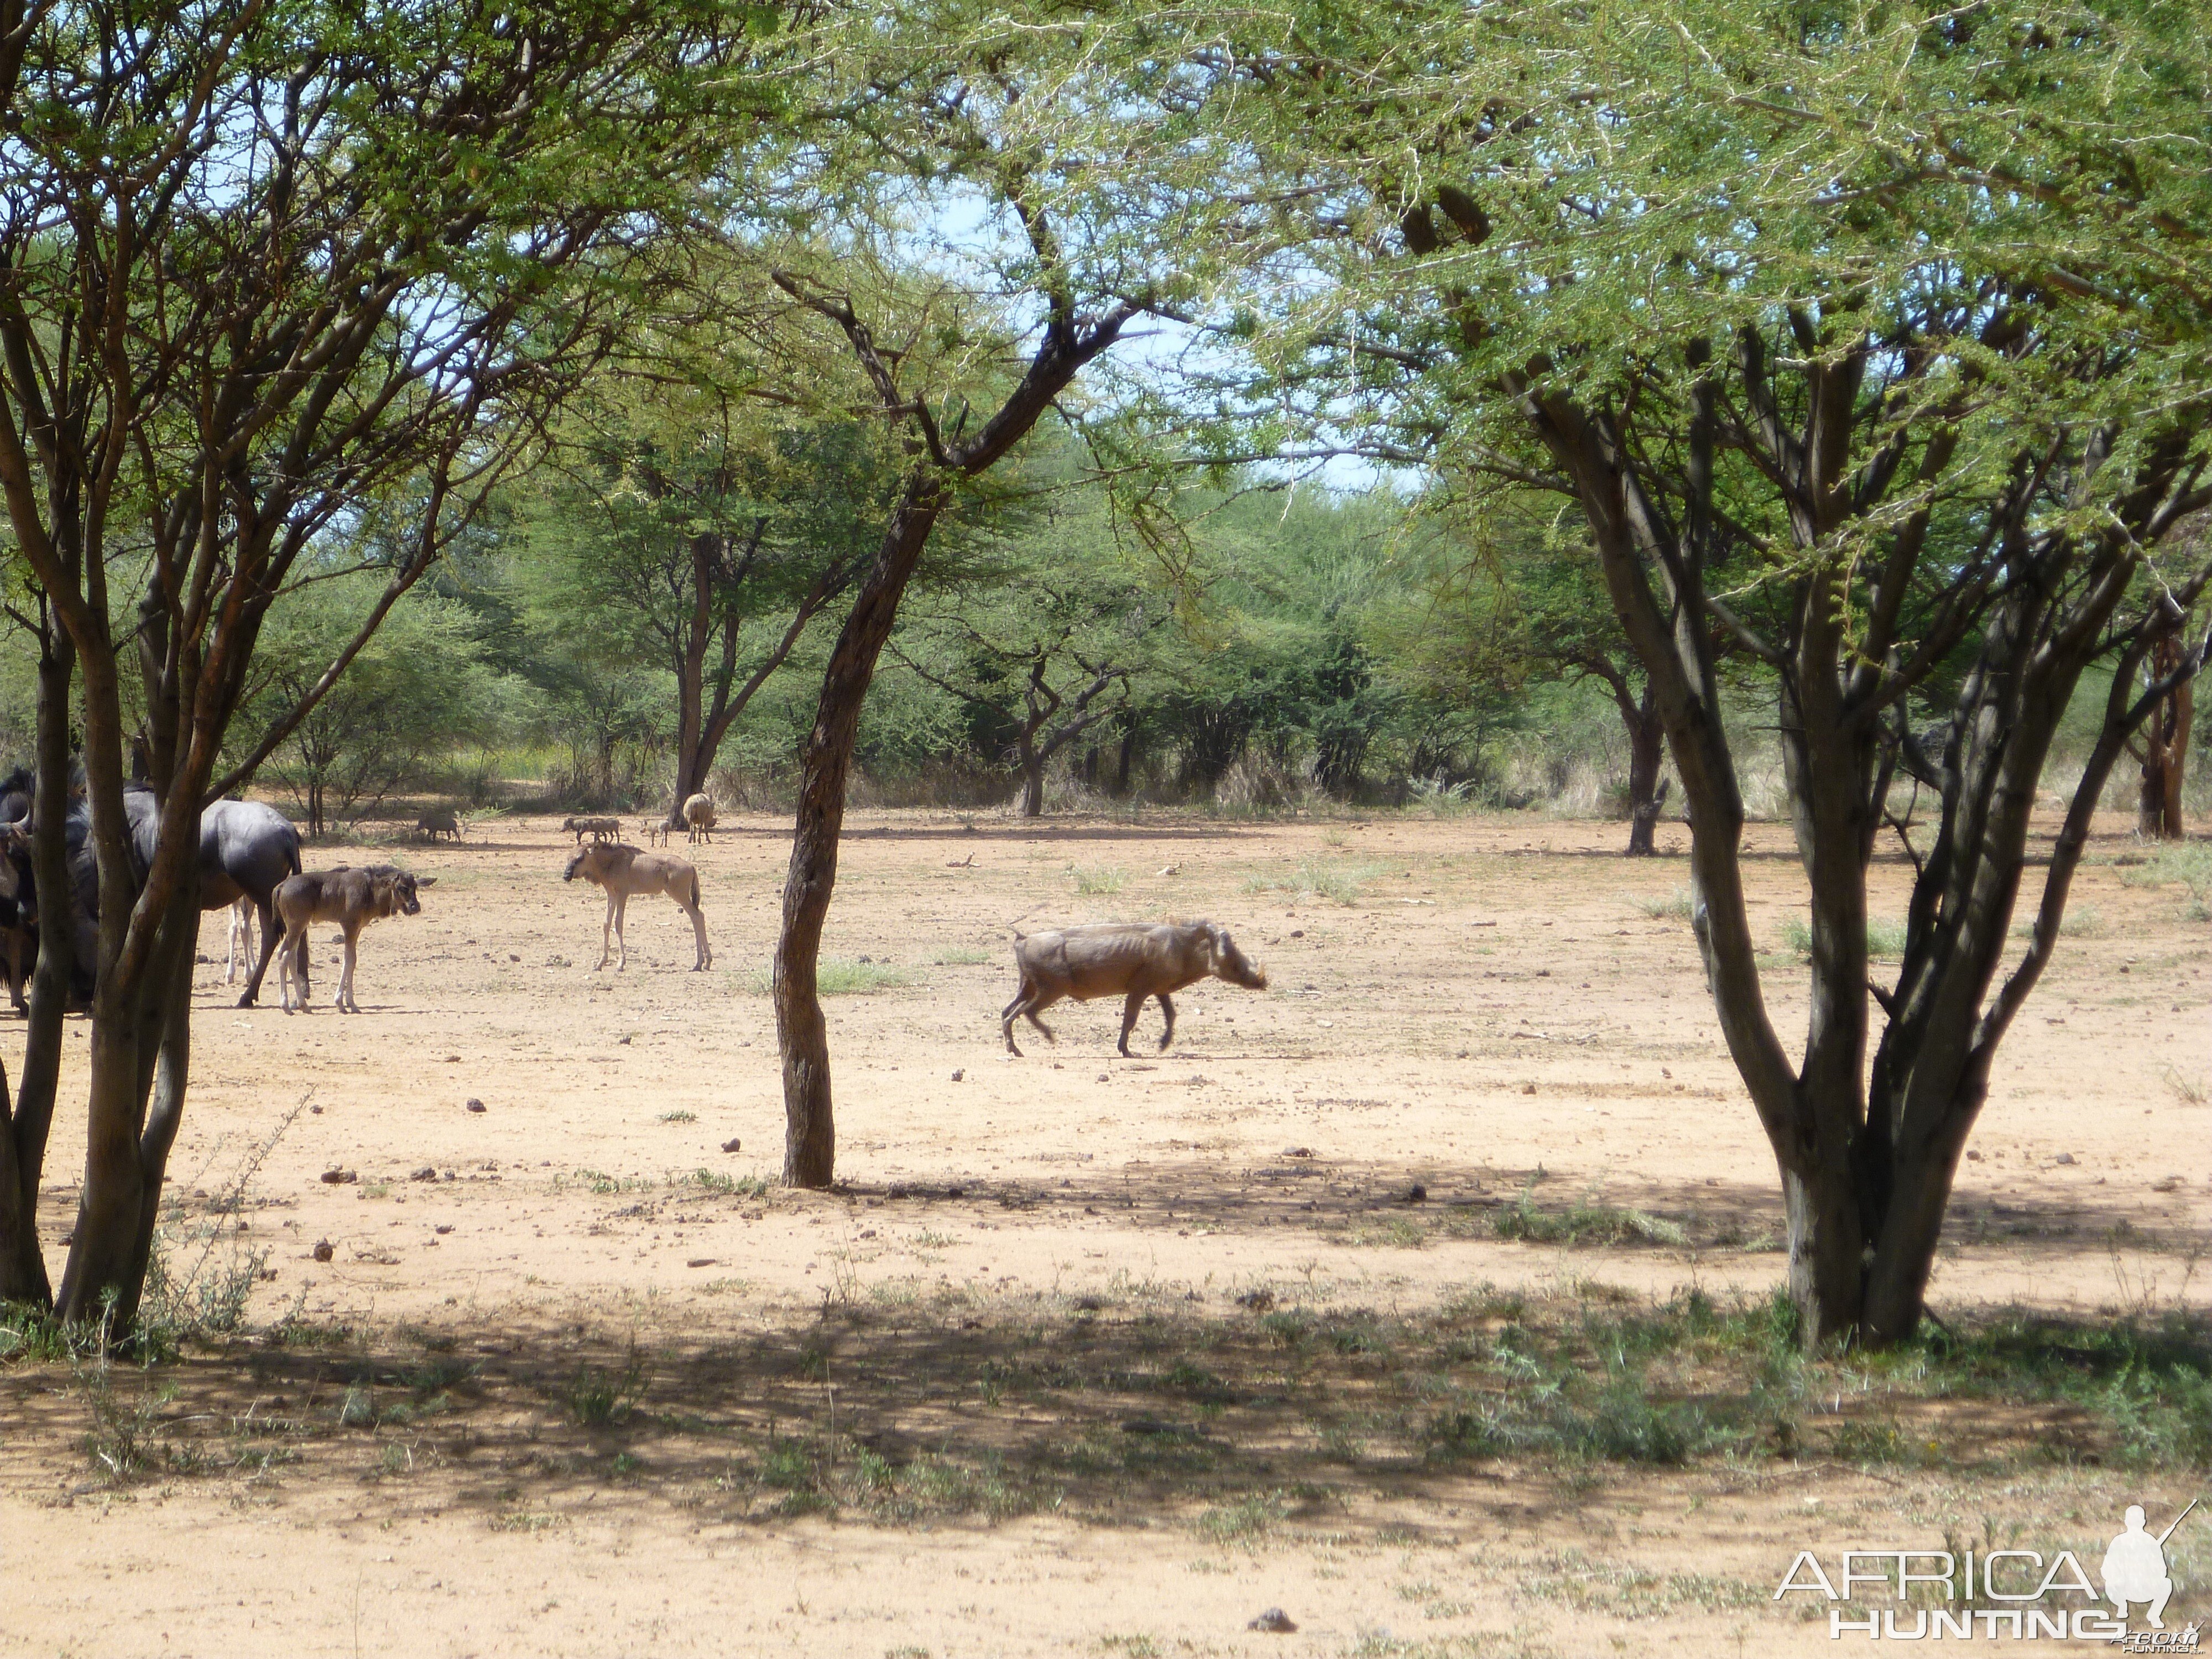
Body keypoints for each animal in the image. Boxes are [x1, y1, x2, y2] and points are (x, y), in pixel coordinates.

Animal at [274, 872, 429, 1013]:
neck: (369, 890)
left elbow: (352, 961)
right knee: (283, 954)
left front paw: (350, 1003)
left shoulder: (357, 929)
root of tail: (281, 886)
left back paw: (303, 1005)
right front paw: (342, 1003)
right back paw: (285, 1006)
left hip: (298, 929)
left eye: (415, 887)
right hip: (296, 927)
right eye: (402, 887)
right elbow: (348, 960)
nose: (415, 907)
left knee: (291, 958)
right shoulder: (349, 927)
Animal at [566, 845, 712, 973]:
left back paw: (699, 963)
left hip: (680, 895)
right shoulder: (612, 895)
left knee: (697, 916)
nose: (566, 875)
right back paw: (706, 963)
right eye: (568, 857)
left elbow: (618, 924)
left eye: (580, 858)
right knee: (699, 916)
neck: (612, 862)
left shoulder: (622, 894)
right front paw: (600, 963)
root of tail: (691, 866)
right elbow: (606, 924)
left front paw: (621, 964)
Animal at [1000, 916, 1274, 1057]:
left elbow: (1171, 1016)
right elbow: (1130, 1019)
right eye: (1230, 956)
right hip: (1051, 990)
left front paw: (1162, 1047)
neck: (1183, 947)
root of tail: (1023, 940)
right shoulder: (1140, 990)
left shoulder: (1160, 990)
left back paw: (1015, 1049)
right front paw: (1128, 1052)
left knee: (1006, 1013)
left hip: (1028, 987)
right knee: (1025, 1012)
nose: (1263, 982)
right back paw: (1046, 1040)